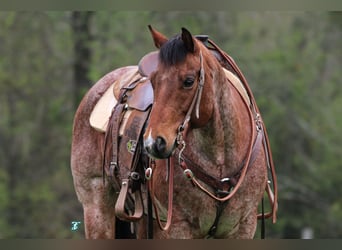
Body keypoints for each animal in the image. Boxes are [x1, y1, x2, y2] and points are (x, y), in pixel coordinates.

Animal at [71, 24, 276, 238]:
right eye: (153, 82)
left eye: (188, 81)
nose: (153, 142)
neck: (220, 160)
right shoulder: (179, 226)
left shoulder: (243, 226)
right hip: (97, 207)